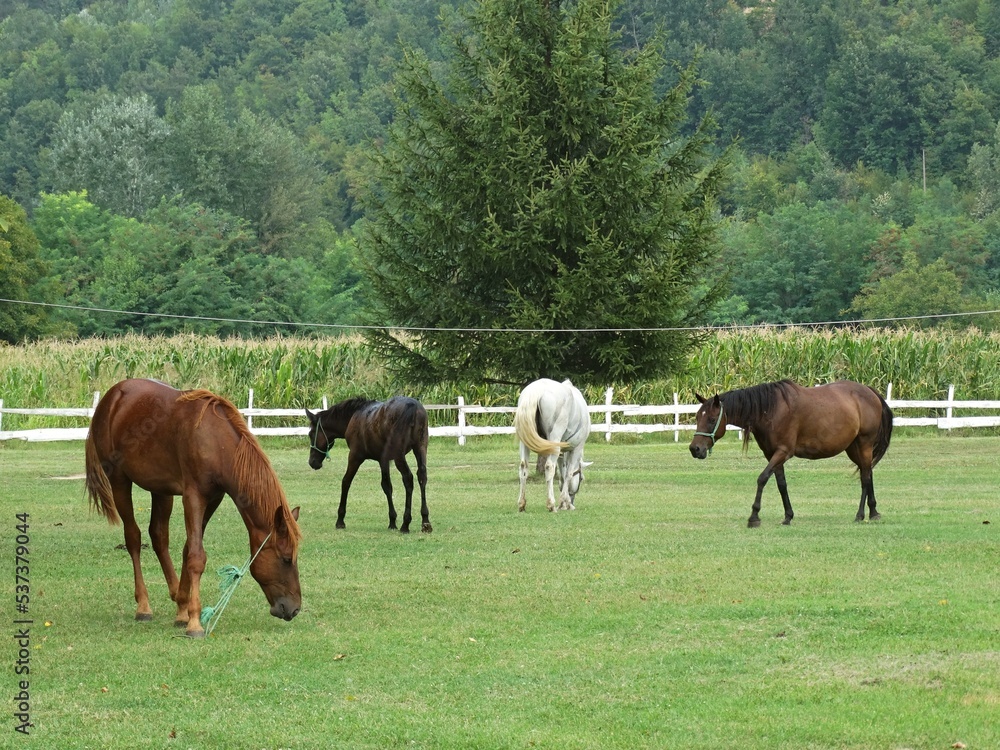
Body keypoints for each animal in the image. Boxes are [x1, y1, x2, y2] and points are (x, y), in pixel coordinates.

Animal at [84, 379, 302, 638]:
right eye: (286, 559)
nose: (294, 608)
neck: (215, 441)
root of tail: (112, 396)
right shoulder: (193, 497)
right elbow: (196, 557)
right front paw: (195, 622)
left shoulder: (213, 499)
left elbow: (188, 549)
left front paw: (184, 611)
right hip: (119, 481)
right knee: (133, 538)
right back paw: (143, 606)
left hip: (161, 490)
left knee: (159, 536)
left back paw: (177, 598)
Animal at [305, 397, 432, 533]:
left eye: (311, 434)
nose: (312, 462)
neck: (354, 416)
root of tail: (412, 406)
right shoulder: (383, 460)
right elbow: (387, 486)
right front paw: (392, 521)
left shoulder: (355, 456)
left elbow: (346, 482)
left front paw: (340, 520)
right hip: (420, 448)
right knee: (422, 476)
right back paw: (425, 521)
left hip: (399, 456)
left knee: (408, 478)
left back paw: (406, 523)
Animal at [514, 378, 592, 512]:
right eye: (581, 478)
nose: (572, 500)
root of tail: (537, 390)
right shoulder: (576, 448)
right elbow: (568, 473)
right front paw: (565, 502)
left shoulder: (561, 452)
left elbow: (563, 474)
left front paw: (564, 503)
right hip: (554, 440)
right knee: (549, 466)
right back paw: (551, 504)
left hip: (525, 442)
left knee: (524, 467)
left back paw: (522, 504)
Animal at [689, 379, 893, 527]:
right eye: (697, 417)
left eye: (712, 419)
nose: (695, 449)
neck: (770, 410)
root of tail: (869, 391)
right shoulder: (772, 455)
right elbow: (781, 484)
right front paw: (788, 516)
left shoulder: (783, 452)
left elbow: (762, 478)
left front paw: (754, 516)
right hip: (853, 447)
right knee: (867, 473)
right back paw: (873, 512)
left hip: (864, 444)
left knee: (865, 478)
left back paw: (860, 515)